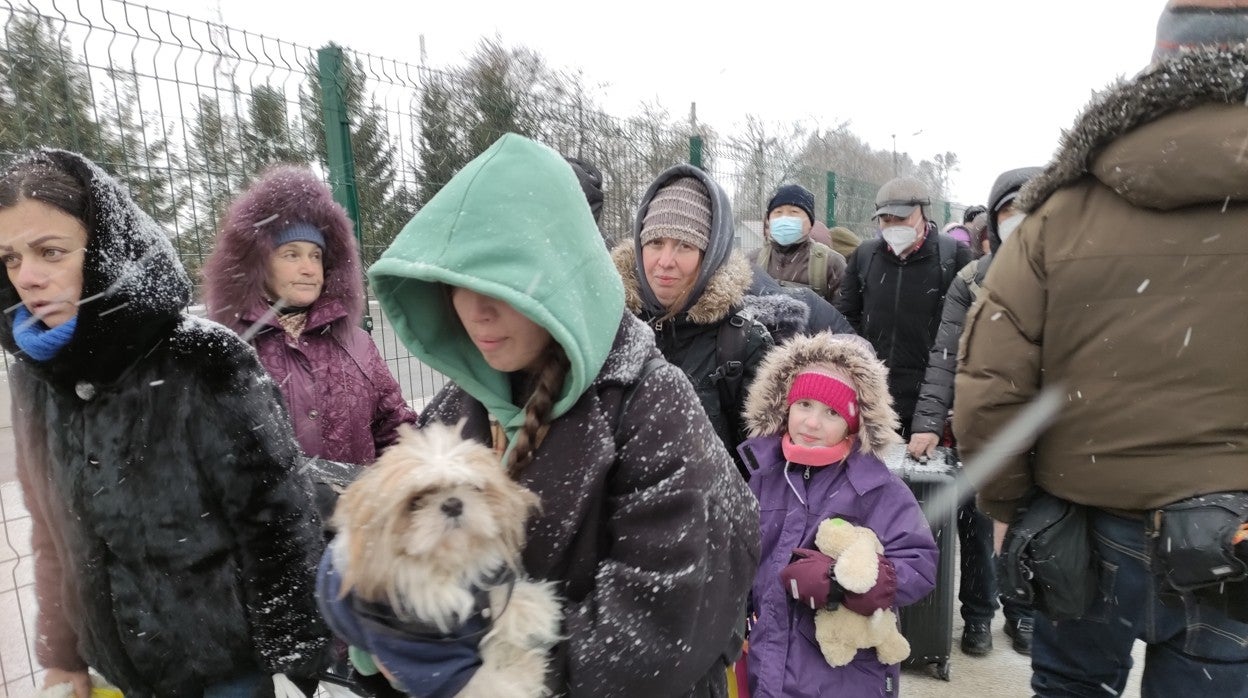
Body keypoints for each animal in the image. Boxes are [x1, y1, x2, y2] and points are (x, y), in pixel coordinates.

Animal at [334, 419, 564, 698]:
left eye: (474, 487)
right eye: (415, 501)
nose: (453, 503)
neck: (445, 567)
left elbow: (500, 596)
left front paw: (536, 610)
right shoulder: (431, 663)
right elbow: (488, 685)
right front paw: (528, 669)